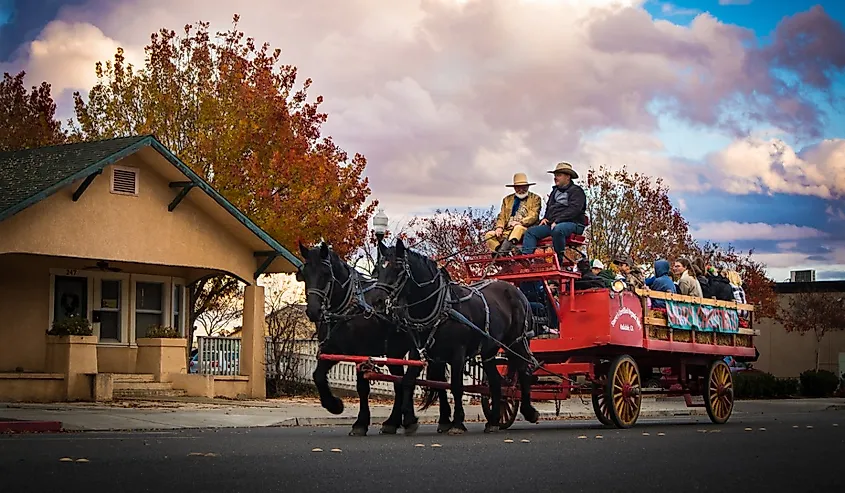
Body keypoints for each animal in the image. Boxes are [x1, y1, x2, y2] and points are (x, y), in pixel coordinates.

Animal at [296, 242, 454, 434]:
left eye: (326, 273)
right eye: (304, 274)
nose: (313, 311)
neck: (350, 307)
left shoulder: (361, 353)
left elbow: (362, 387)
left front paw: (360, 423)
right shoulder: (332, 350)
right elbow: (318, 376)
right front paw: (335, 405)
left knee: (429, 378)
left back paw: (436, 419)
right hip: (395, 352)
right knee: (401, 381)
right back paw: (393, 421)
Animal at [370, 238, 540, 434]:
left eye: (397, 268)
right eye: (378, 269)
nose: (377, 300)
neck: (439, 306)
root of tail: (516, 291)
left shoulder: (458, 353)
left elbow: (456, 387)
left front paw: (457, 423)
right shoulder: (421, 353)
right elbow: (409, 381)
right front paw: (410, 420)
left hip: (516, 342)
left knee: (524, 370)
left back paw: (529, 411)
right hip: (489, 351)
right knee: (496, 382)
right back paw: (494, 421)